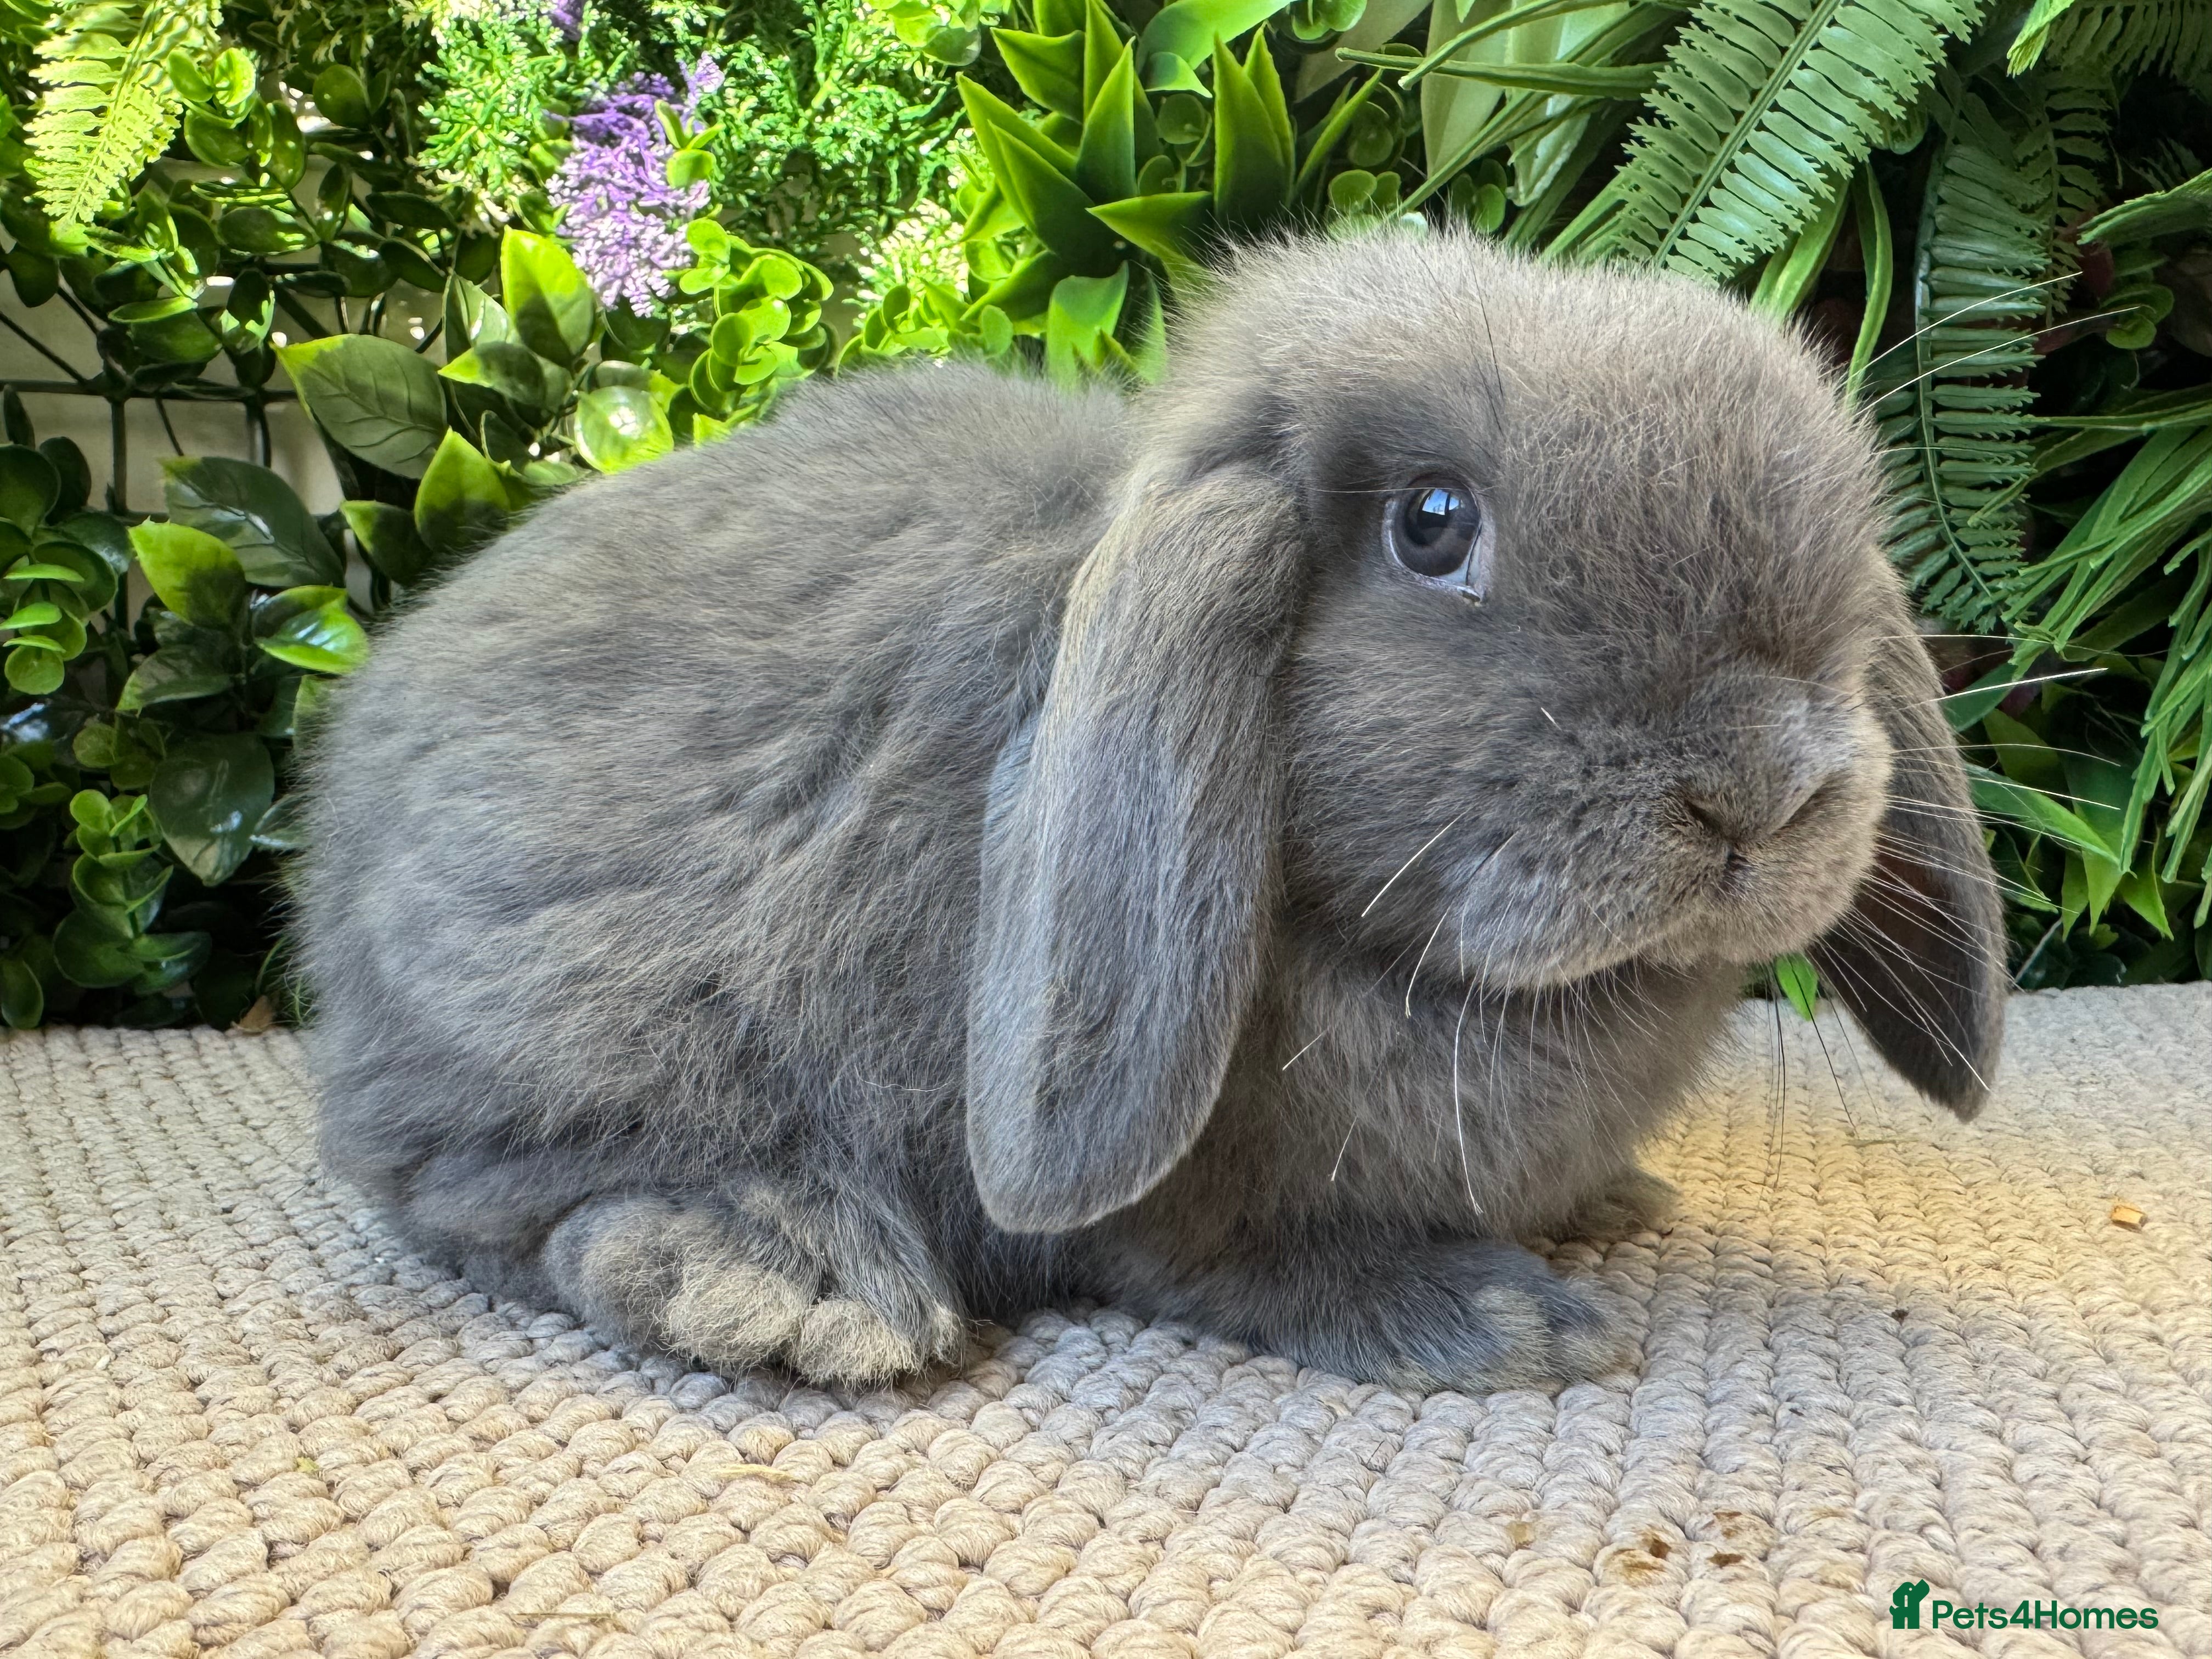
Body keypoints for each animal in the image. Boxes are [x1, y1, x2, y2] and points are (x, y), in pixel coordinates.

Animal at [296, 229, 2006, 1393]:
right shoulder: (1181, 1207)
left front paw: (1606, 1205)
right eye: (1432, 524)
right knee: (482, 1194)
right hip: (568, 1012)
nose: (1764, 786)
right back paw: (787, 1281)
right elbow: (1236, 1261)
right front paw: (1501, 1317)